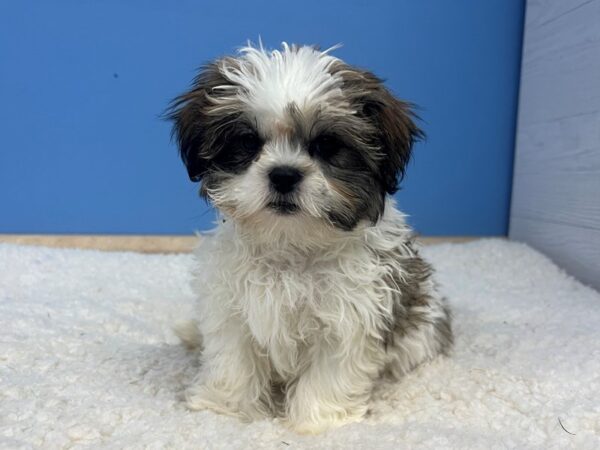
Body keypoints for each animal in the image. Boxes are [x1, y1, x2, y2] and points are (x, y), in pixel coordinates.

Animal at [166, 44, 452, 434]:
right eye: (248, 142)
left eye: (327, 145)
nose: (284, 174)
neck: (291, 247)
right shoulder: (231, 307)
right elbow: (232, 359)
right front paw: (223, 409)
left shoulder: (351, 317)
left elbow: (328, 374)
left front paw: (315, 423)